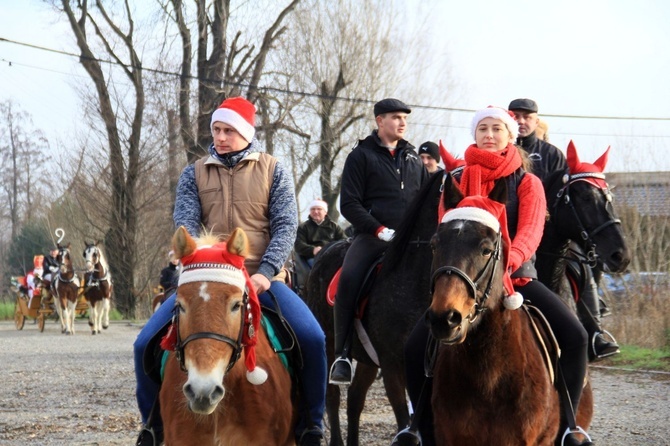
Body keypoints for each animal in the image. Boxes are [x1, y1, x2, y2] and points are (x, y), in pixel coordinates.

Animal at [306, 174, 468, 446]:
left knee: (355, 398)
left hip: (368, 359)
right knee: (333, 396)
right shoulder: (392, 364)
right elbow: (405, 424)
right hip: (329, 344)